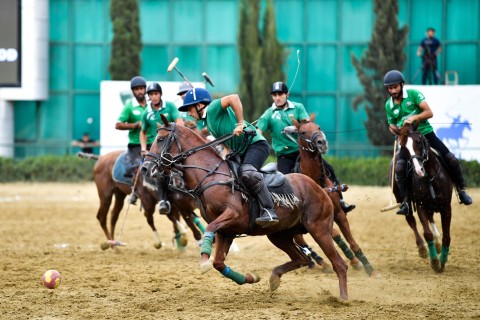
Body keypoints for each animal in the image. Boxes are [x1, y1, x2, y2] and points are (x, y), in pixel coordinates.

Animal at [142, 116, 348, 302]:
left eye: (160, 139)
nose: (145, 167)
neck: (210, 176)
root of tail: (319, 188)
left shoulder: (231, 215)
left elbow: (209, 231)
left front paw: (203, 260)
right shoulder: (226, 231)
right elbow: (219, 263)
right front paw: (250, 277)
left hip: (319, 228)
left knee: (339, 263)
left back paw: (343, 298)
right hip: (279, 235)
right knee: (302, 259)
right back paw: (274, 278)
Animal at [288, 115, 378, 278]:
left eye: (318, 127)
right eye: (303, 132)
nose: (322, 142)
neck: (315, 179)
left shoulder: (339, 212)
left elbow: (352, 242)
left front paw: (368, 267)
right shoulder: (317, 220)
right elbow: (335, 234)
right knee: (301, 239)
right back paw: (321, 263)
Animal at [392, 122, 452, 272]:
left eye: (419, 142)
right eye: (404, 147)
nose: (418, 170)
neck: (430, 177)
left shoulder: (446, 207)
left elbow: (447, 235)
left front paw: (443, 259)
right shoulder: (421, 206)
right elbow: (427, 233)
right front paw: (435, 262)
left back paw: (437, 245)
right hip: (403, 200)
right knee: (411, 220)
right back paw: (423, 249)